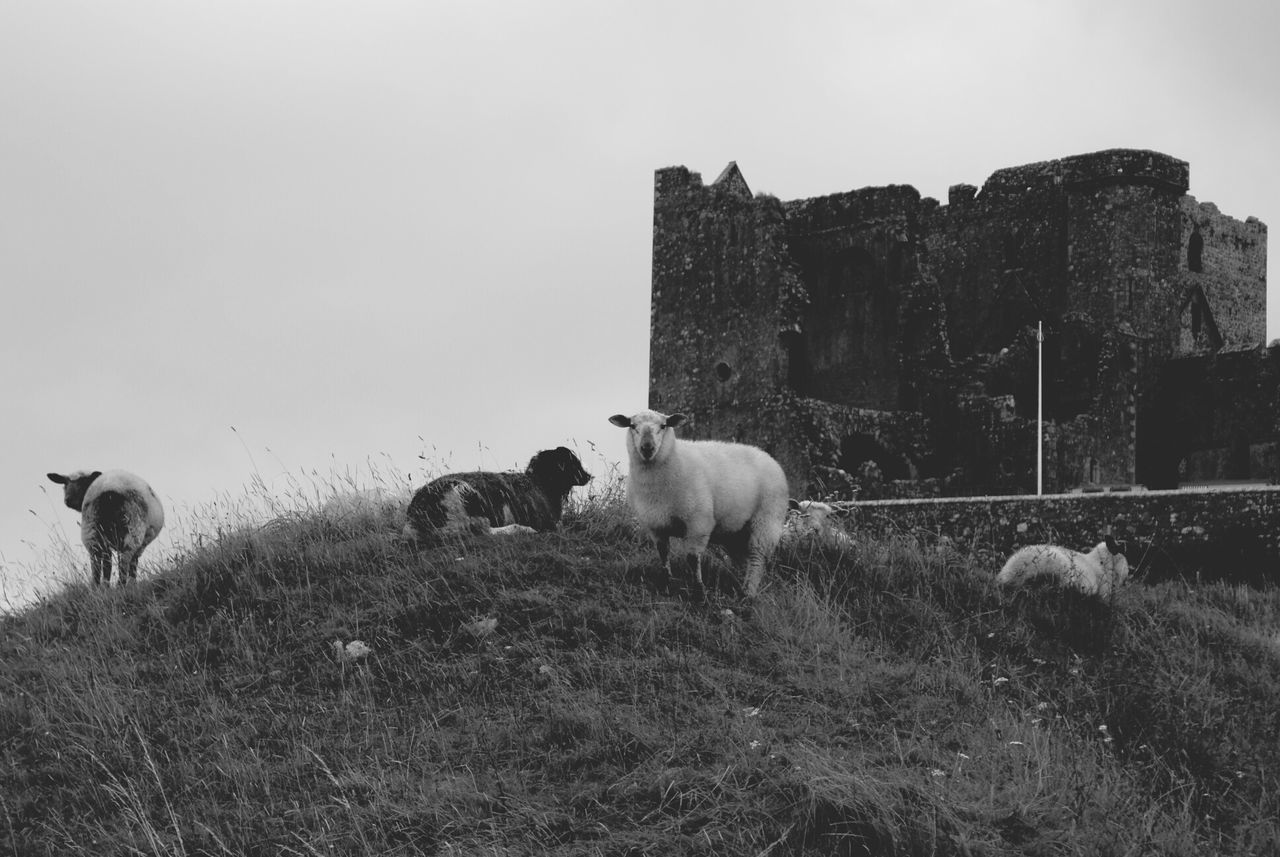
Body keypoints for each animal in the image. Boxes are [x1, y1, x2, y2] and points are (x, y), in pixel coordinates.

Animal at [401, 447, 591, 539]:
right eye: (571, 462)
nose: (588, 476)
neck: (540, 484)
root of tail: (413, 519)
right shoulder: (545, 521)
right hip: (463, 499)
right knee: (481, 530)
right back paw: (522, 529)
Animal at [609, 406, 788, 598]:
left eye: (663, 426)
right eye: (632, 425)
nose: (647, 448)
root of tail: (767, 456)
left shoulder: (698, 522)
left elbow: (692, 558)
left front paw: (699, 592)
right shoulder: (655, 525)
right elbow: (663, 554)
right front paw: (666, 585)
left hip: (767, 519)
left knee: (757, 557)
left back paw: (748, 593)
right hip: (735, 530)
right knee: (740, 558)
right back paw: (737, 585)